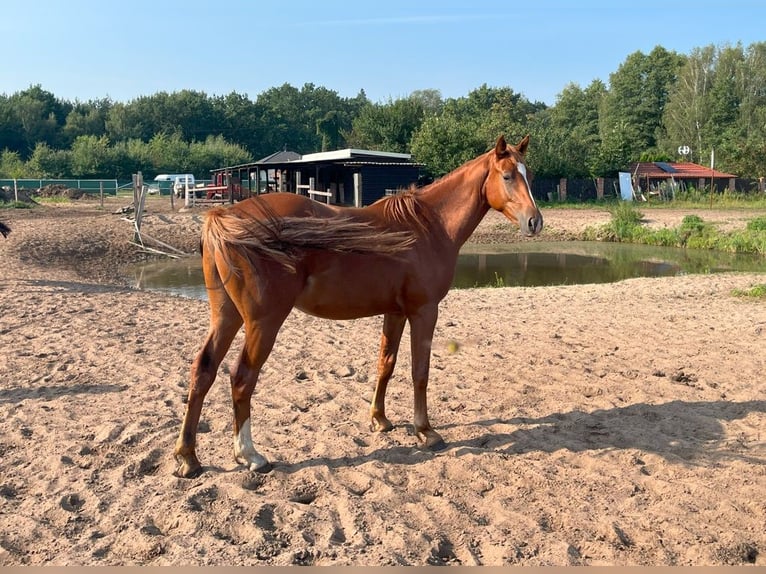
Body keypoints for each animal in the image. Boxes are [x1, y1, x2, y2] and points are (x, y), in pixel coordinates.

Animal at [176, 134, 544, 476]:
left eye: (530, 175)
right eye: (507, 175)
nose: (535, 222)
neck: (427, 226)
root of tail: (226, 214)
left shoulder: (395, 313)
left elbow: (386, 364)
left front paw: (379, 419)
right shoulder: (424, 312)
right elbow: (419, 372)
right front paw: (425, 431)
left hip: (227, 317)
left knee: (203, 371)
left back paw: (188, 457)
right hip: (262, 323)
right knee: (241, 379)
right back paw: (250, 455)